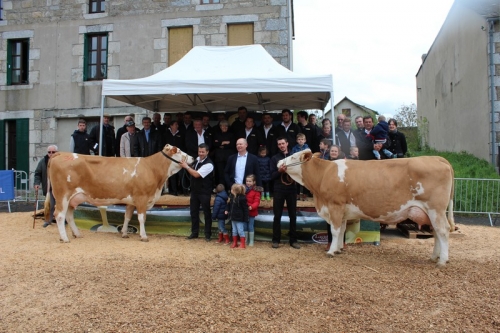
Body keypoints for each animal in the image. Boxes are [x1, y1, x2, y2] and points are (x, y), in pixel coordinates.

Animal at [47, 144, 193, 243]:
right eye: (179, 151)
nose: (192, 157)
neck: (152, 168)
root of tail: (60, 154)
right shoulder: (142, 198)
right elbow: (142, 218)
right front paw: (144, 236)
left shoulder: (132, 201)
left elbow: (127, 216)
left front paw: (124, 233)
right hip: (62, 195)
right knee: (59, 215)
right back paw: (65, 238)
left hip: (72, 198)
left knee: (69, 215)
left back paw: (77, 234)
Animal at [280, 150, 456, 268]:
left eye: (293, 156)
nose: (279, 162)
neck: (324, 174)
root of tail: (436, 158)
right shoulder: (342, 211)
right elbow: (342, 230)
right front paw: (338, 249)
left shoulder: (335, 206)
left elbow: (335, 231)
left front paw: (331, 251)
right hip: (431, 213)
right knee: (436, 233)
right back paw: (434, 257)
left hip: (436, 209)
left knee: (443, 231)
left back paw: (442, 260)